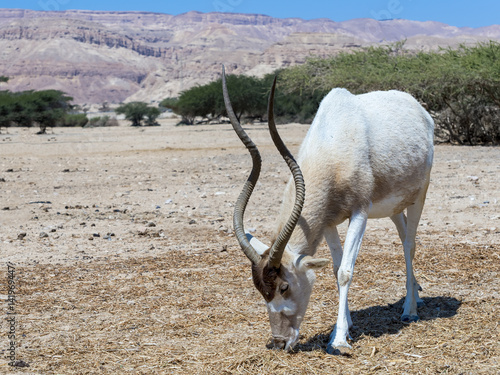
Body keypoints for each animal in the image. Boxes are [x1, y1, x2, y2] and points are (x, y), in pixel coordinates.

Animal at [223, 66, 434, 354]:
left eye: (284, 286)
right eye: (259, 290)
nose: (279, 342)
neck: (332, 144)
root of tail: (418, 108)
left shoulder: (360, 212)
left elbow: (345, 271)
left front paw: (339, 340)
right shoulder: (330, 221)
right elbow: (335, 269)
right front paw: (344, 325)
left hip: (419, 196)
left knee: (410, 244)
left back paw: (410, 309)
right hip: (394, 207)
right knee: (403, 237)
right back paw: (416, 296)